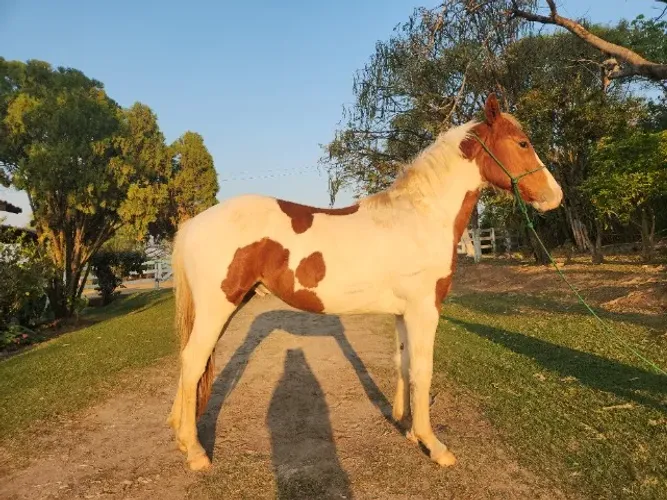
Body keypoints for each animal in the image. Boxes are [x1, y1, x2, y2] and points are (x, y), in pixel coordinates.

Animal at [166, 93, 563, 471]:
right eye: (522, 142)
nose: (555, 196)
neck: (421, 216)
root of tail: (193, 223)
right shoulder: (425, 310)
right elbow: (423, 369)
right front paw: (433, 445)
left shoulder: (404, 313)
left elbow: (404, 363)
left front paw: (407, 428)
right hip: (218, 307)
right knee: (193, 361)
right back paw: (196, 453)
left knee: (191, 363)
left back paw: (183, 440)